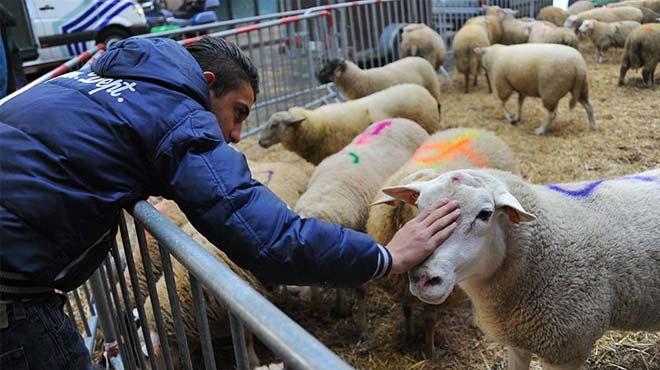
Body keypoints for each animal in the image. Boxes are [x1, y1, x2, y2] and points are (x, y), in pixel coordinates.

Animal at [294, 118, 428, 342]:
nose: (294, 291)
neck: (328, 192)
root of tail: (401, 119)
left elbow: (360, 290)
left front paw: (362, 329)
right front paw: (332, 307)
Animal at [366, 128, 516, 358]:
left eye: (484, 214)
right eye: (416, 203)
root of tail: (481, 130)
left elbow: (429, 321)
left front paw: (429, 351)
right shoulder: (403, 289)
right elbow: (407, 310)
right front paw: (408, 338)